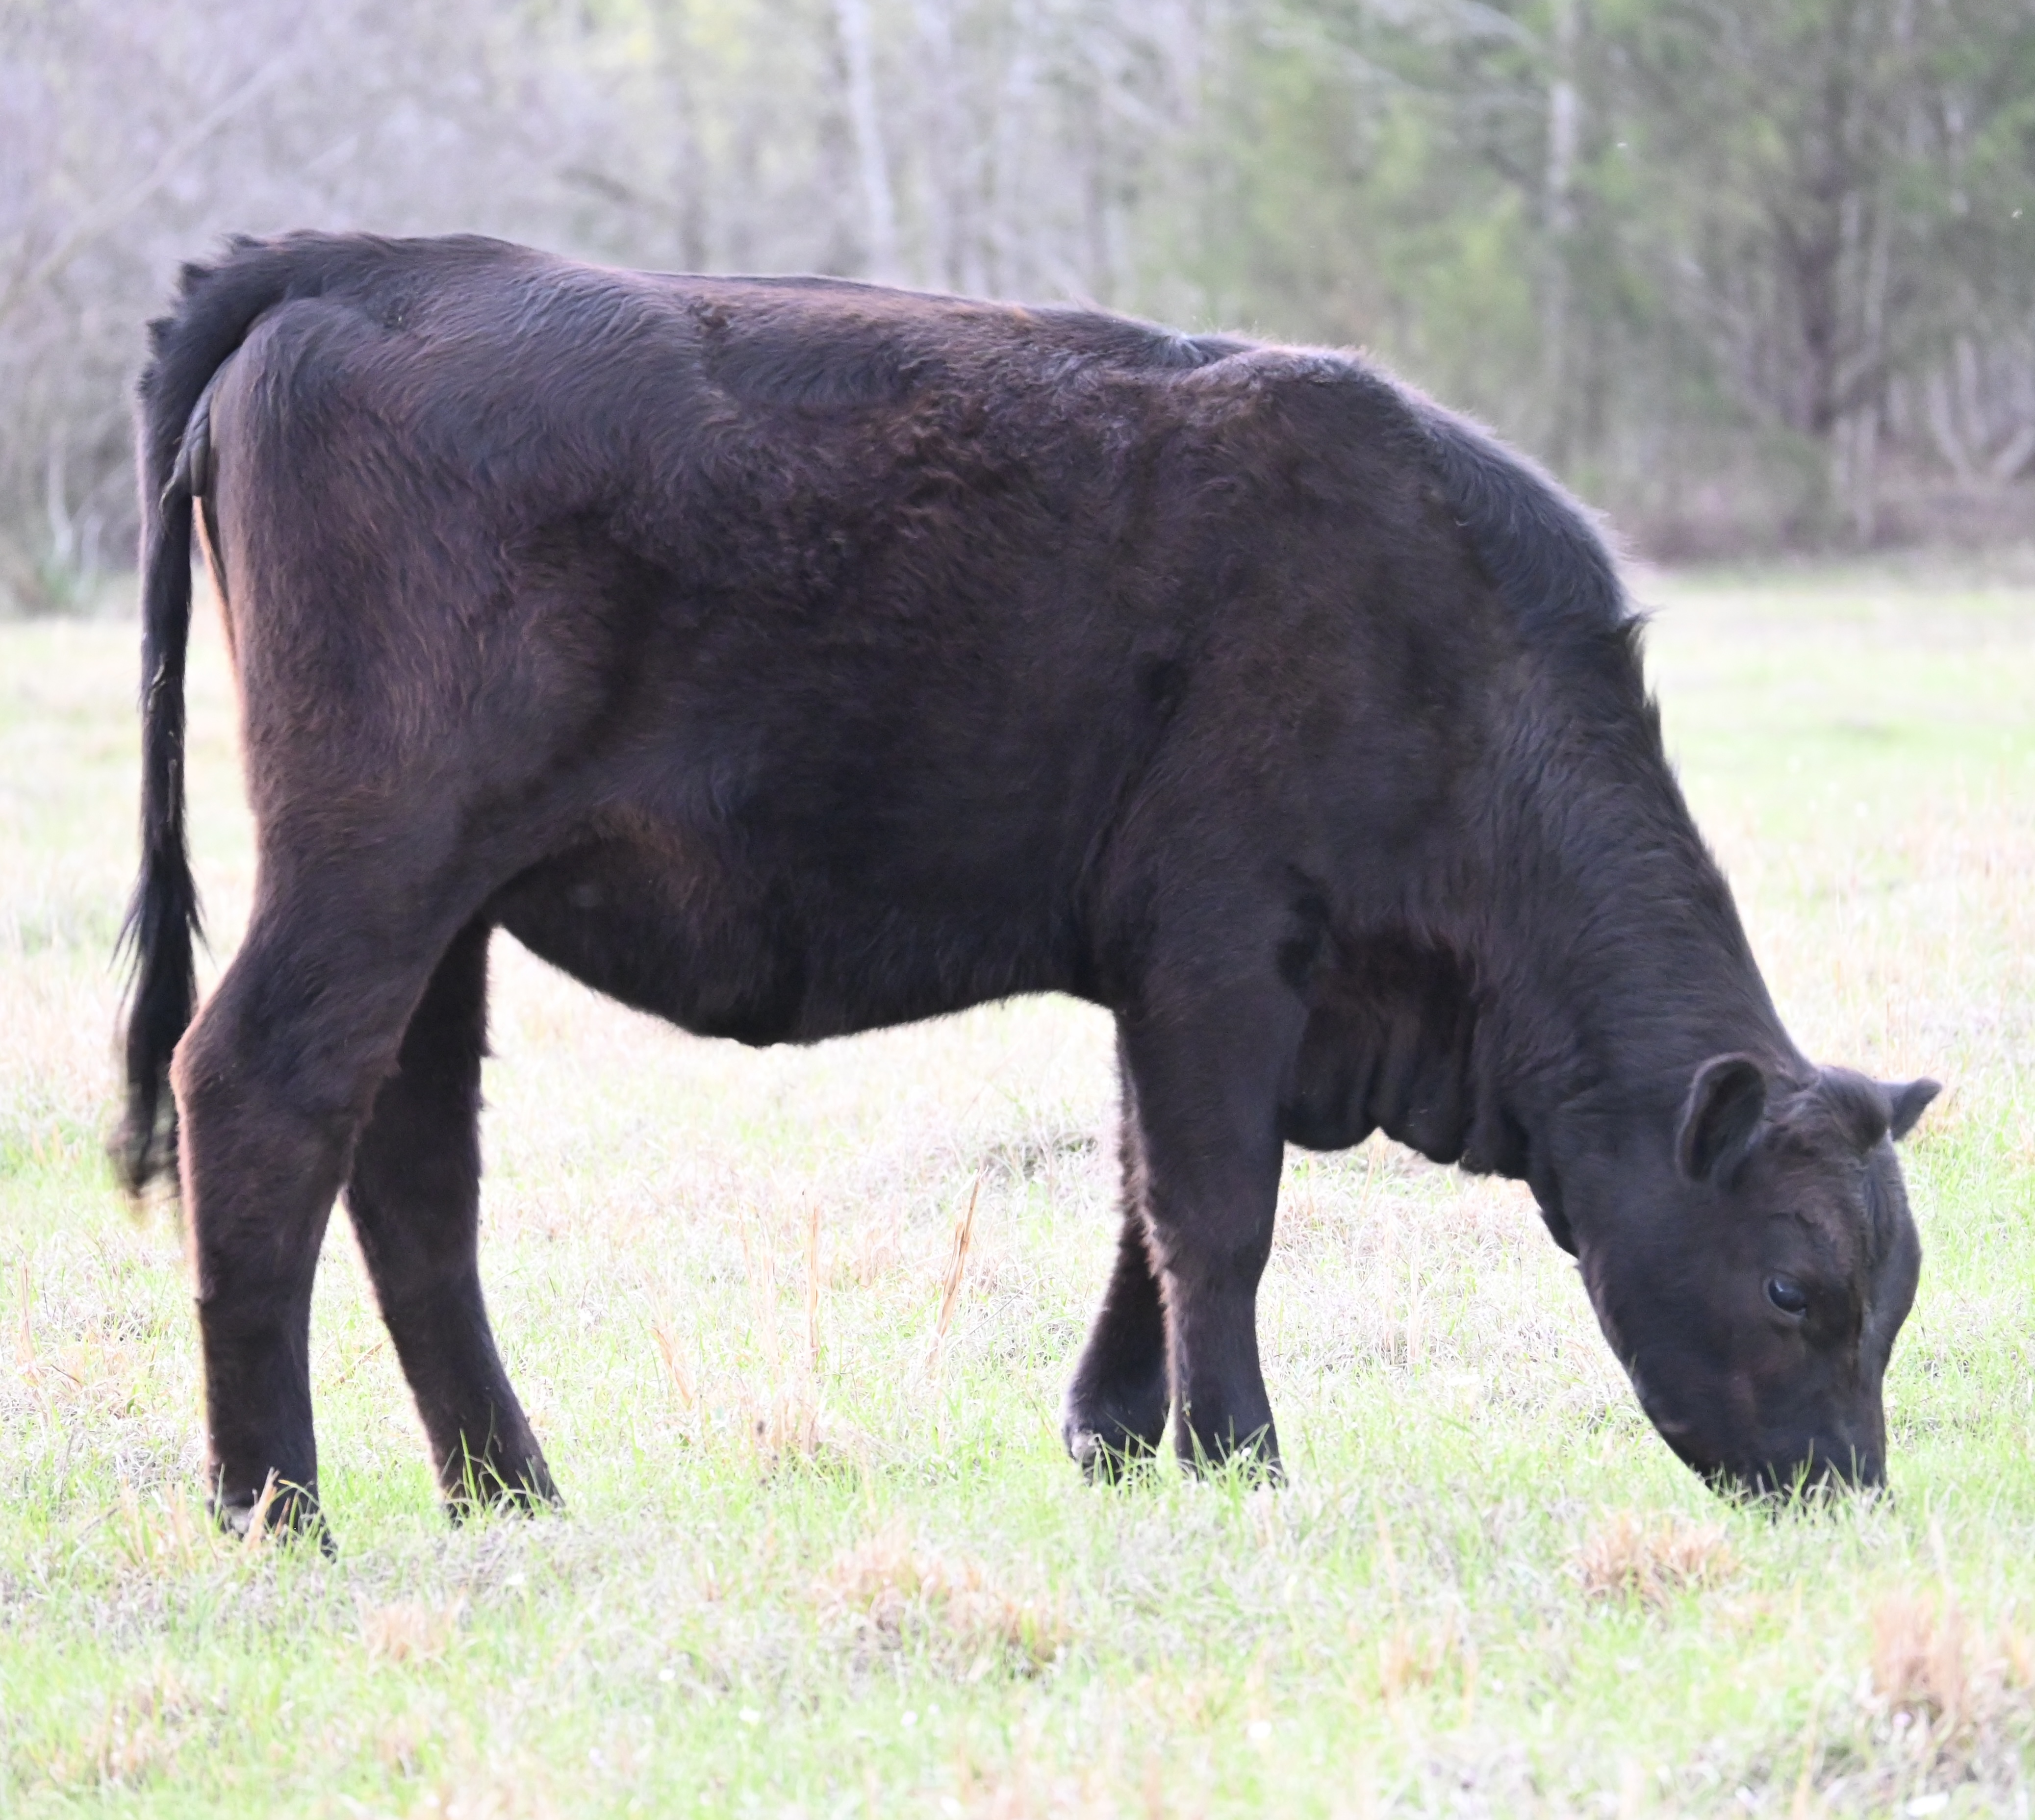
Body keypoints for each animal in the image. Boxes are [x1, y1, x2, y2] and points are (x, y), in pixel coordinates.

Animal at [116, 232, 1936, 1541]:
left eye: (1896, 1299)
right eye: (1797, 1286)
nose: (1847, 1492)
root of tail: (368, 262)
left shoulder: (1192, 977)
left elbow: (1143, 1195)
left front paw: (1123, 1439)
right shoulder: (1222, 945)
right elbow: (1216, 1209)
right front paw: (1242, 1458)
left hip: (447, 908)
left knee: (413, 1161)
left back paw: (508, 1494)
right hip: (373, 857)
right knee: (259, 1089)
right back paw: (274, 1507)